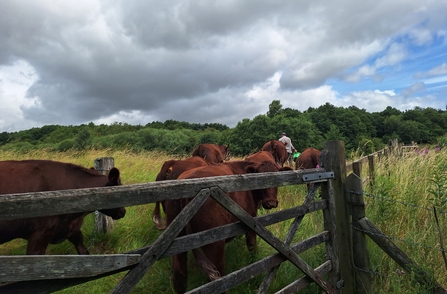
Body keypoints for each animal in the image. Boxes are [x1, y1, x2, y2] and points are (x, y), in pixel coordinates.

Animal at [170, 161, 292, 294]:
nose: (271, 203)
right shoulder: (251, 223)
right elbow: (252, 247)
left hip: (178, 243)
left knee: (179, 275)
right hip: (215, 244)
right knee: (219, 278)